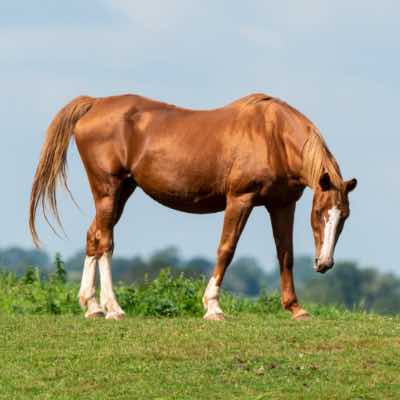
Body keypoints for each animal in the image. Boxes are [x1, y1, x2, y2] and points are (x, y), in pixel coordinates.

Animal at [29, 92, 358, 320]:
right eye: (319, 214)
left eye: (343, 217)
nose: (324, 264)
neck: (272, 136)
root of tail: (95, 104)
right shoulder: (240, 199)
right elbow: (226, 249)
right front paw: (212, 307)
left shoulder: (282, 204)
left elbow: (285, 254)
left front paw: (295, 308)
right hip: (108, 191)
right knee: (105, 242)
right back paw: (113, 307)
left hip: (122, 192)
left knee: (94, 237)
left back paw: (92, 305)